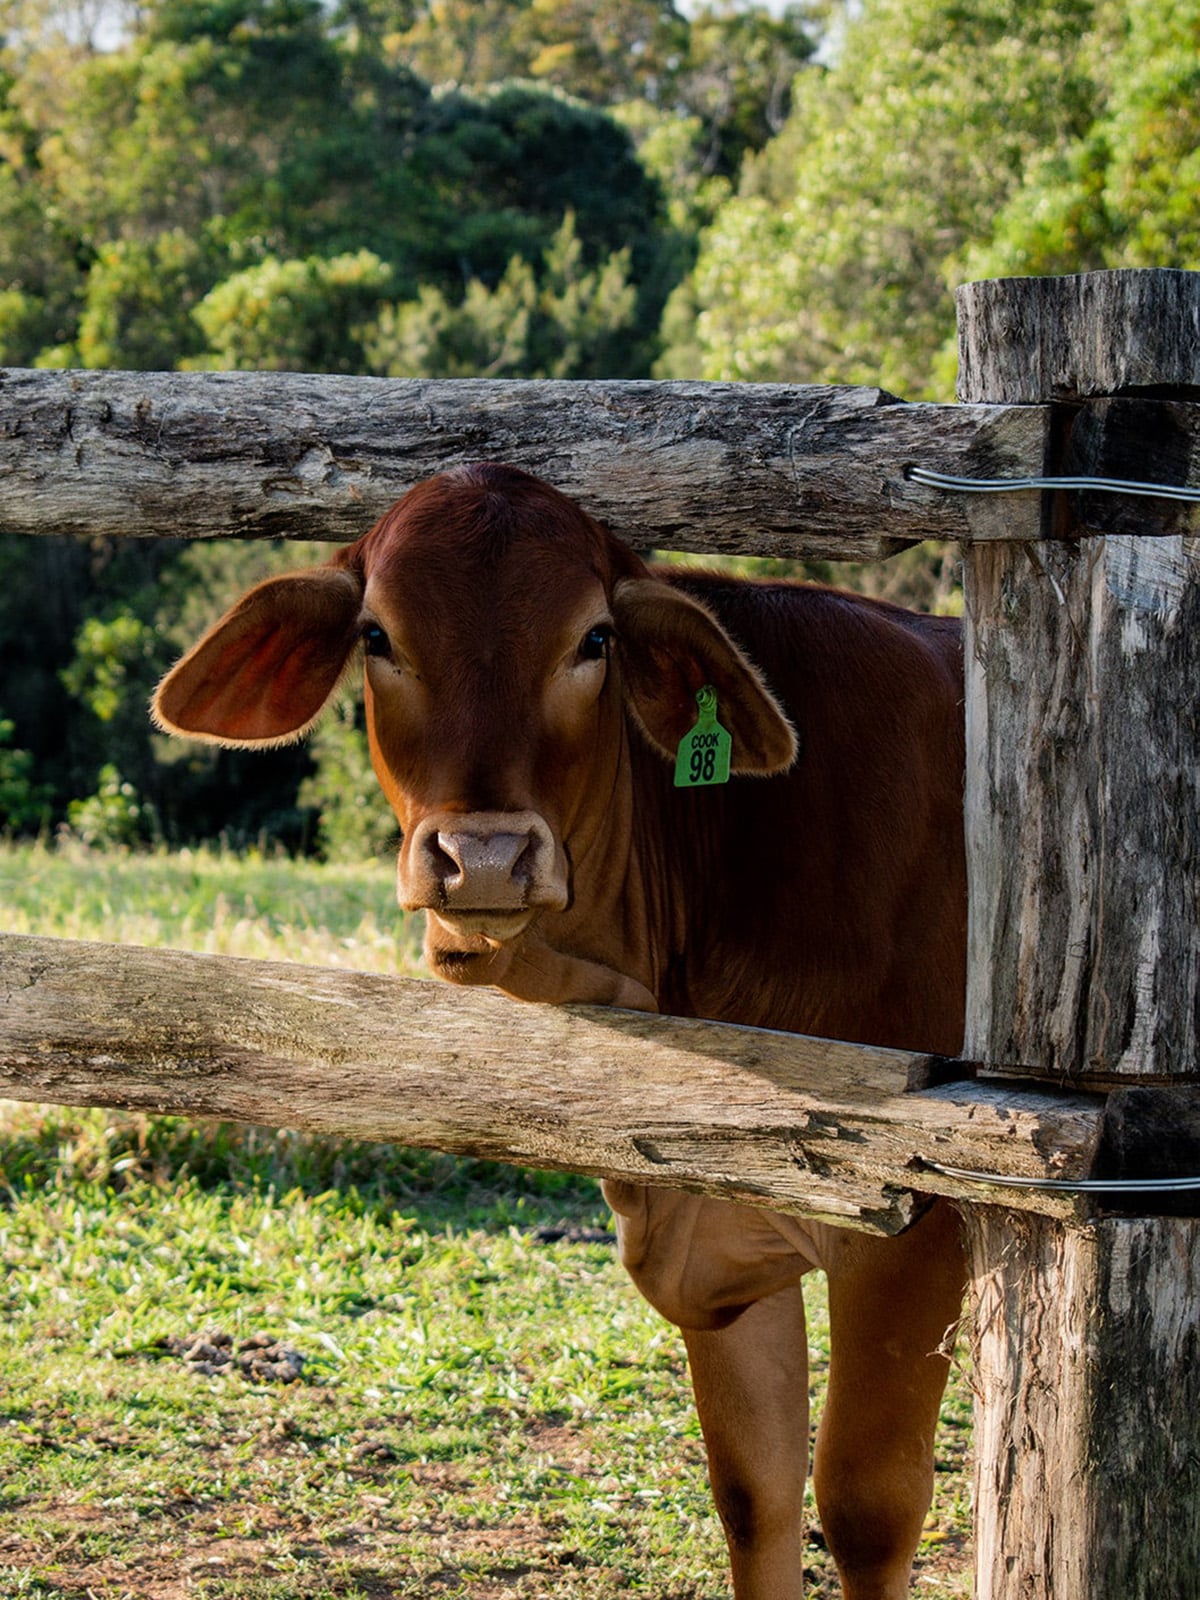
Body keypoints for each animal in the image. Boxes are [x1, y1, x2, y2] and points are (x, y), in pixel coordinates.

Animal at [153, 462, 967, 1600]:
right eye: (376, 634)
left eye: (594, 640)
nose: (485, 858)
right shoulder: (723, 1256)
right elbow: (755, 1498)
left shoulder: (918, 1238)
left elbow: (865, 1506)